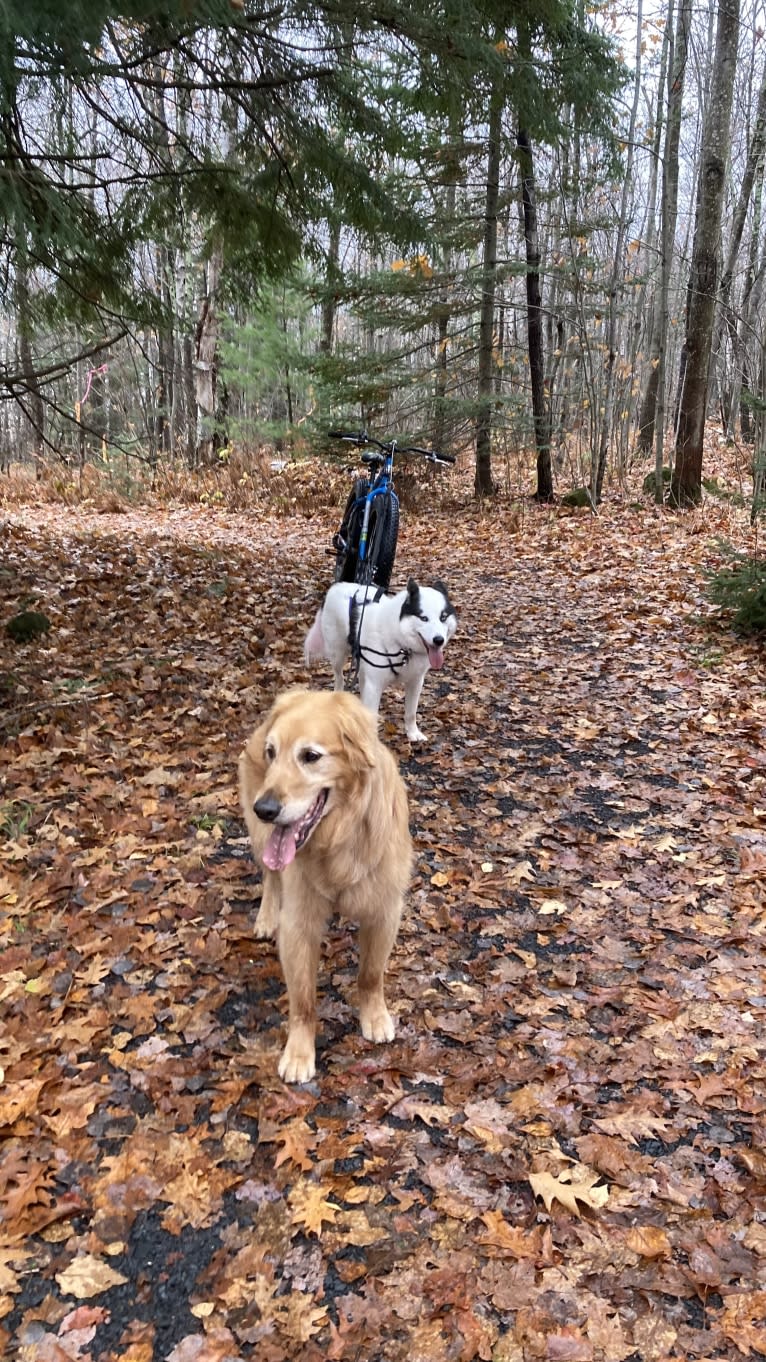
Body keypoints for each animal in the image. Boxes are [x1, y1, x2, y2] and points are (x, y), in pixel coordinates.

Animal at [303, 577, 455, 746]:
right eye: (423, 618)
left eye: (443, 617)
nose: (439, 640)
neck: (402, 645)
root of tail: (337, 586)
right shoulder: (374, 684)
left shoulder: (415, 682)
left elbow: (411, 713)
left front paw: (413, 733)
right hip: (338, 655)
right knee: (340, 678)